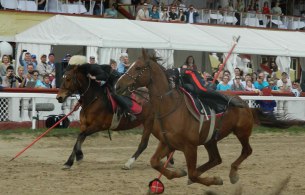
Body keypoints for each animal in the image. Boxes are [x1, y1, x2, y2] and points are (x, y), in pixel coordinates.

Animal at [114, 48, 304, 186]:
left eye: (138, 68)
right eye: (129, 65)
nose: (117, 85)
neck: (169, 107)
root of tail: (246, 105)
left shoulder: (190, 146)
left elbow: (191, 172)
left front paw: (213, 180)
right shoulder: (167, 143)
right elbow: (155, 162)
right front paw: (178, 172)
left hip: (241, 132)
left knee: (246, 151)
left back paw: (233, 173)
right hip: (210, 140)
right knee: (216, 159)